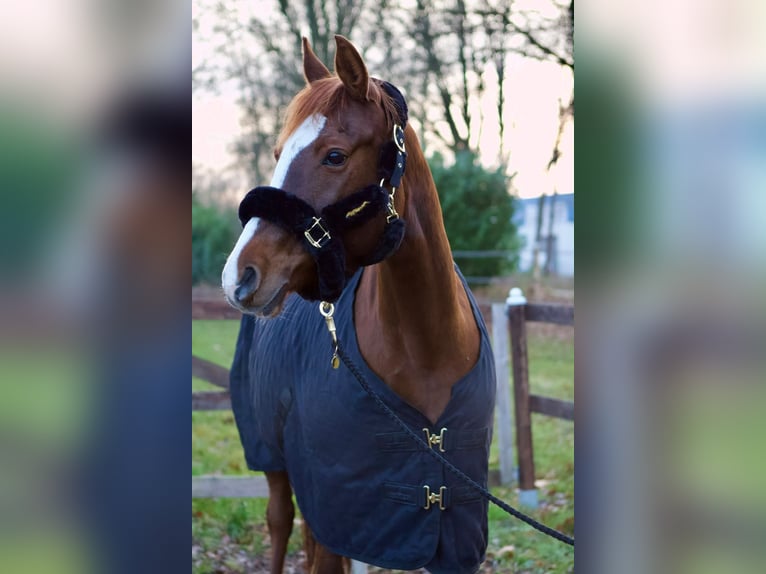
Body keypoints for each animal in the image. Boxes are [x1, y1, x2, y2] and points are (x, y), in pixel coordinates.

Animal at [222, 36, 496, 574]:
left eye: (334, 155)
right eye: (279, 152)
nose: (239, 275)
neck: (427, 348)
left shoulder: (447, 536)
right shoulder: (338, 512)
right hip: (272, 455)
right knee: (279, 520)